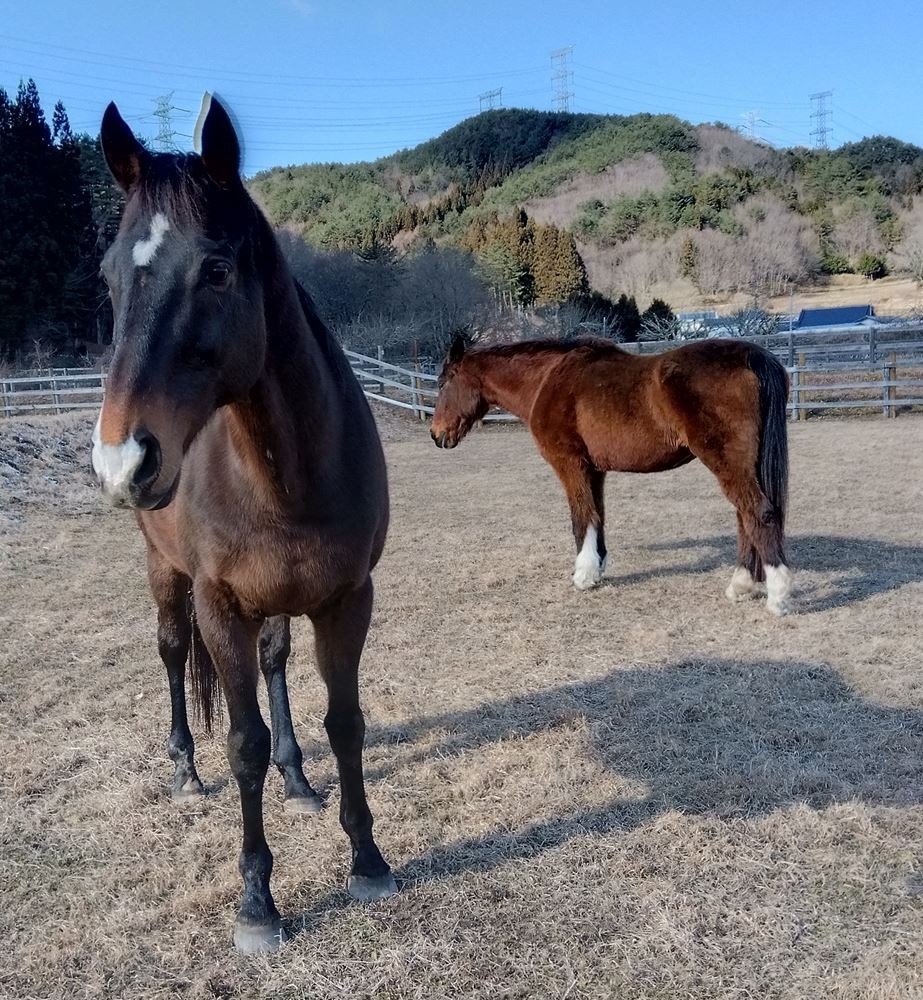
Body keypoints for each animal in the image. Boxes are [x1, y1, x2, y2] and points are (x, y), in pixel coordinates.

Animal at [92, 97, 396, 948]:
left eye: (217, 270)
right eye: (106, 277)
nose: (122, 460)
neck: (286, 472)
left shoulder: (346, 598)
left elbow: (345, 722)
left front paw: (366, 859)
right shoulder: (218, 604)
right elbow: (242, 742)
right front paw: (258, 901)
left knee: (275, 663)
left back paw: (298, 778)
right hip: (165, 574)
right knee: (171, 657)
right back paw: (185, 771)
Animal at [430, 336, 792, 612]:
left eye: (444, 382)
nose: (436, 435)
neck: (547, 379)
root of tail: (750, 355)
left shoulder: (570, 465)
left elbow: (581, 517)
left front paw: (583, 575)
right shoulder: (595, 470)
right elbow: (598, 516)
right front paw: (598, 566)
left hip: (727, 462)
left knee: (759, 514)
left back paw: (777, 595)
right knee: (746, 516)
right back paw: (741, 584)